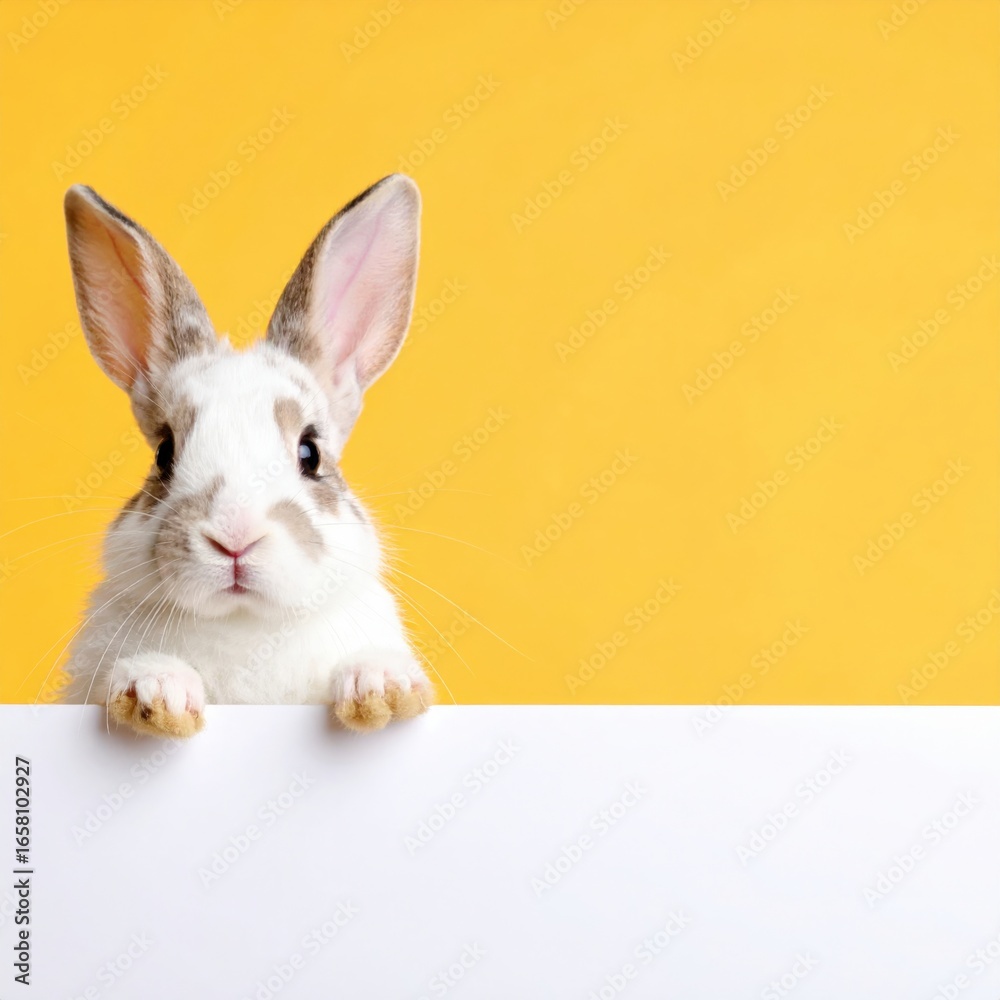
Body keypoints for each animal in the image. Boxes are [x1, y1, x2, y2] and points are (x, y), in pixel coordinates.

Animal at [59, 175, 434, 738]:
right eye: (164, 454)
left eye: (310, 452)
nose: (235, 540)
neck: (245, 625)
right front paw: (155, 693)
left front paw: (381, 688)